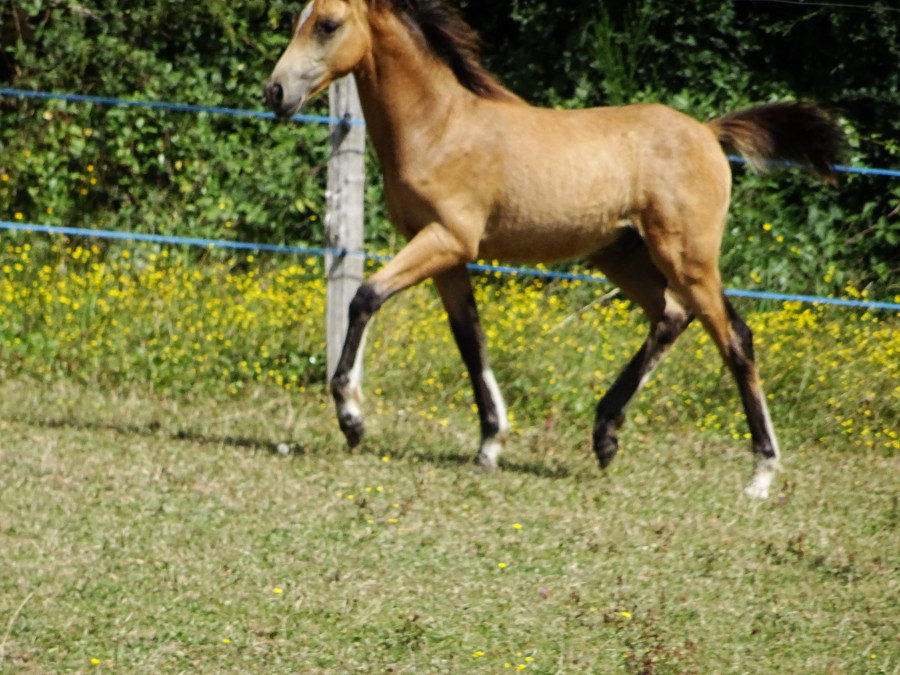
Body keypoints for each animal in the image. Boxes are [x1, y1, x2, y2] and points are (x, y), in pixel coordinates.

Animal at [263, 0, 845, 499]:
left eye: (329, 24)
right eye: (297, 19)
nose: (275, 92)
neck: (440, 127)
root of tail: (708, 132)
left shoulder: (446, 238)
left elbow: (365, 296)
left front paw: (352, 419)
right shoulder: (446, 253)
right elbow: (469, 337)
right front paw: (490, 442)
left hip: (688, 258)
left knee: (735, 339)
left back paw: (761, 475)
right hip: (620, 255)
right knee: (670, 316)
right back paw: (605, 435)